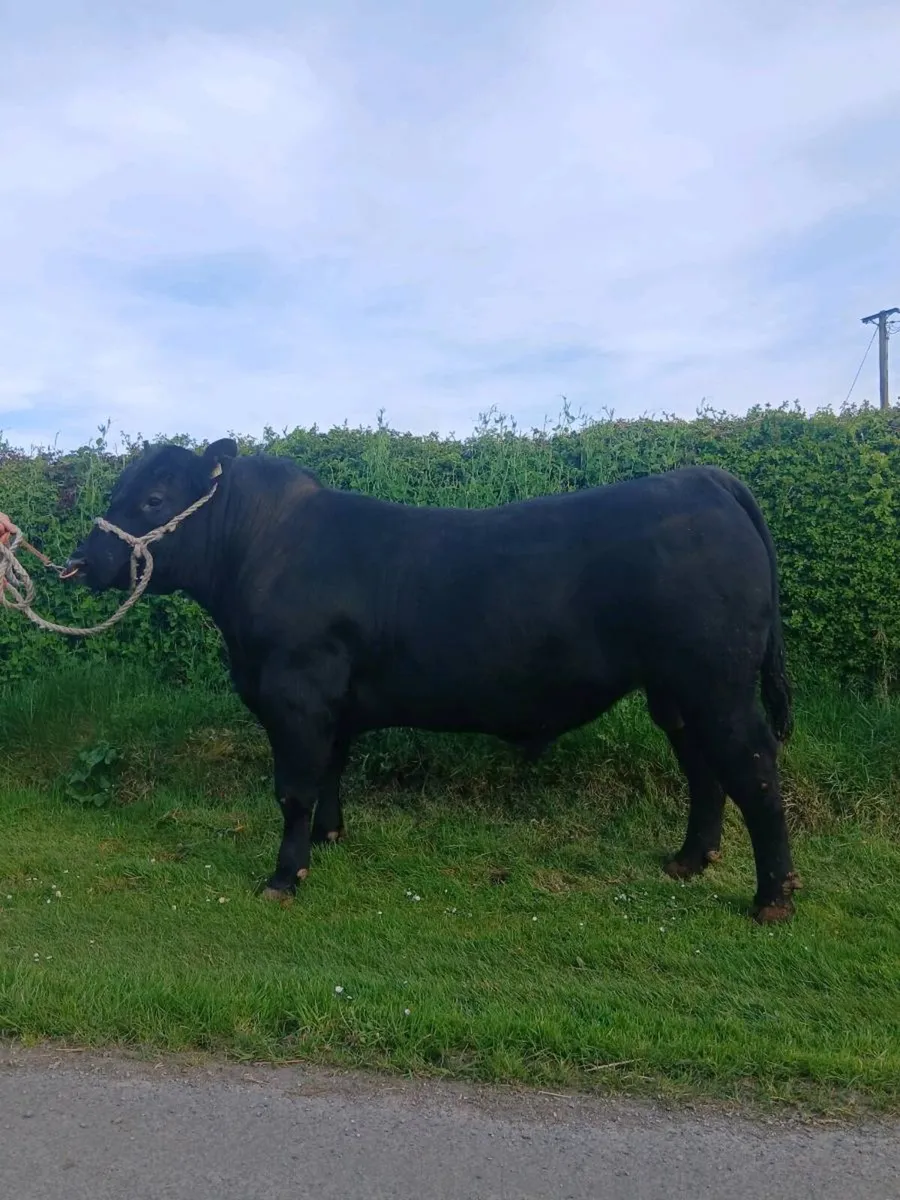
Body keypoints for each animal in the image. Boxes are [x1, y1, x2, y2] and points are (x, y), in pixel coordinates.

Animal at [63, 438, 800, 923]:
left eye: (153, 497)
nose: (82, 560)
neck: (262, 550)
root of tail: (703, 478)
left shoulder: (296, 693)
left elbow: (294, 788)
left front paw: (283, 877)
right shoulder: (332, 702)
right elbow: (329, 773)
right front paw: (328, 839)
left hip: (718, 682)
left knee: (754, 767)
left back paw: (772, 899)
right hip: (676, 688)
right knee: (703, 768)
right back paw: (689, 860)